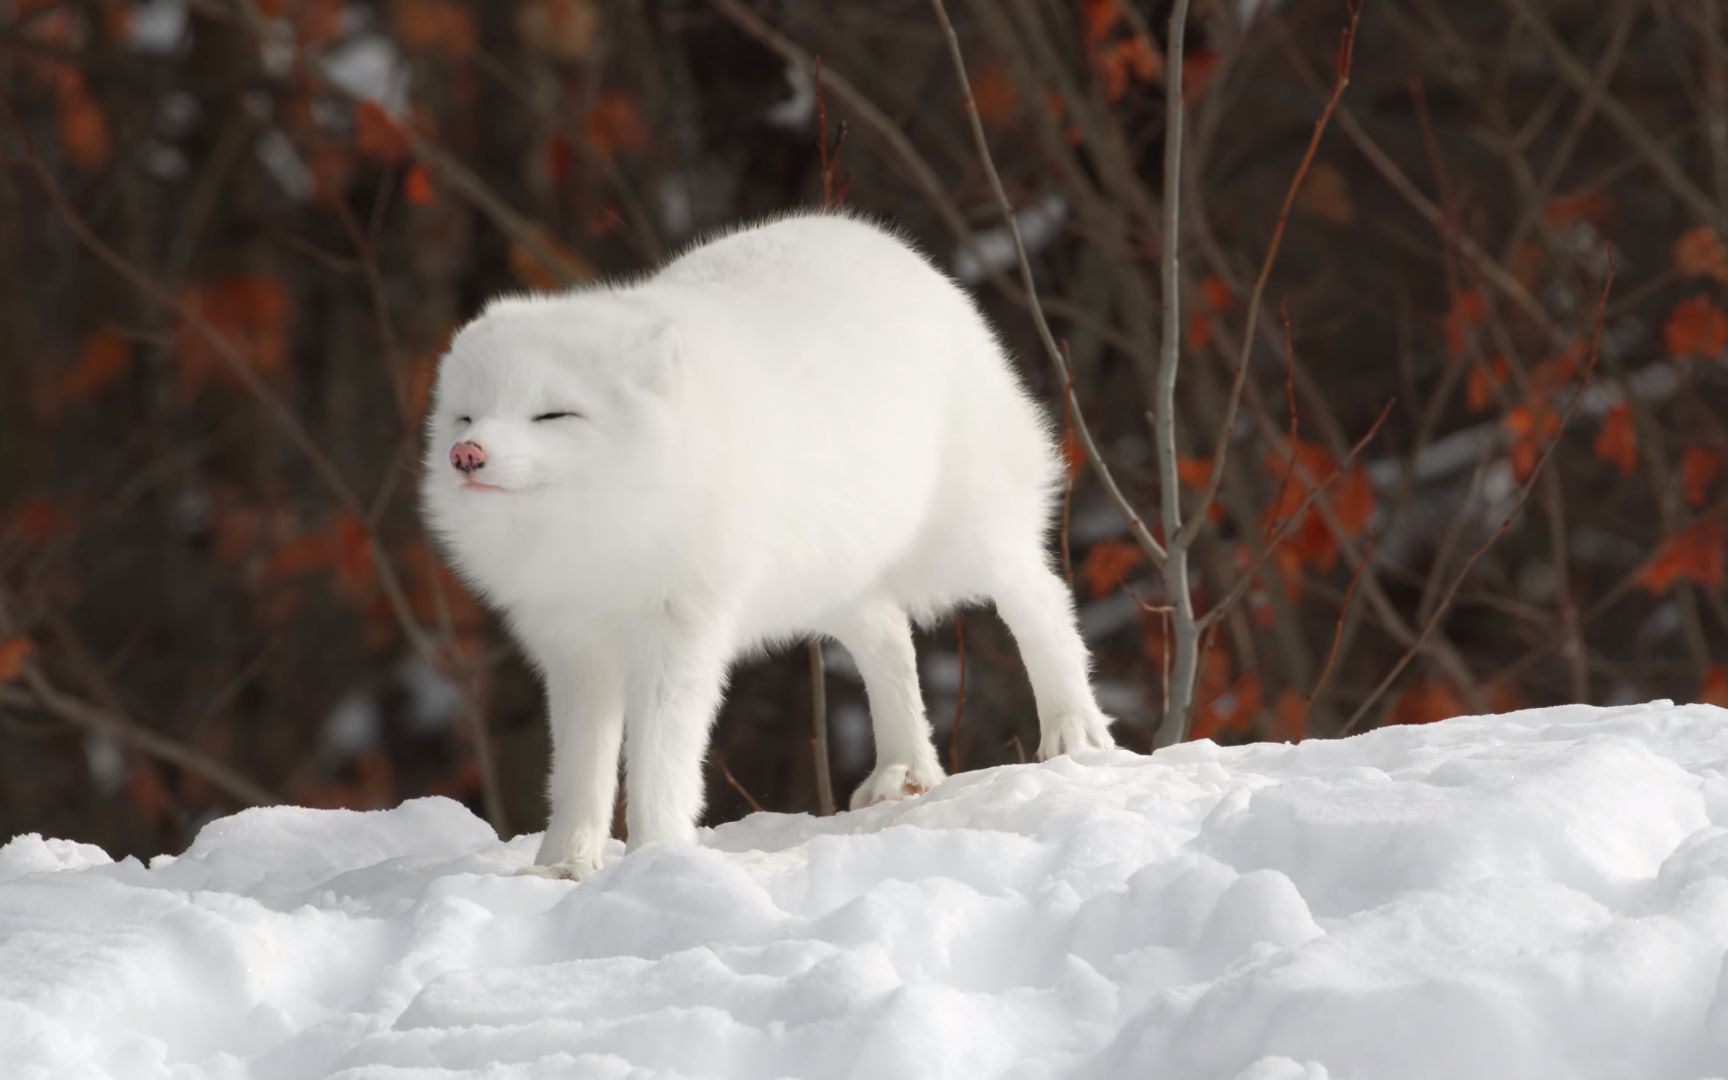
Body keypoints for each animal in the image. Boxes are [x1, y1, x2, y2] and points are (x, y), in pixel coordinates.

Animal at [425, 210, 1112, 877]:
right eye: (467, 416)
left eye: (553, 416)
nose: (467, 454)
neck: (599, 536)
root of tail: (900, 252)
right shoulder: (573, 651)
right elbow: (577, 773)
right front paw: (562, 866)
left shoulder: (680, 638)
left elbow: (660, 761)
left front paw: (655, 855)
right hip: (832, 578)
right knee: (891, 638)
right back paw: (903, 771)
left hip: (967, 537)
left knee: (1043, 599)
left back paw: (1074, 731)